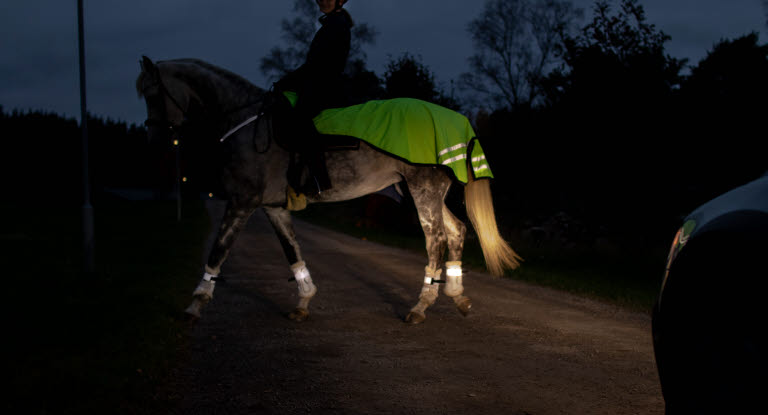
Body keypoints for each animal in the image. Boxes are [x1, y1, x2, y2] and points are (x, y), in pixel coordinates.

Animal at [138, 56, 520, 324]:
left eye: (152, 94)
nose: (154, 140)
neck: (247, 123)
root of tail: (456, 119)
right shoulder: (273, 206)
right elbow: (291, 250)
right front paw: (304, 300)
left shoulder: (242, 201)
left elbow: (218, 251)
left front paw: (195, 305)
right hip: (421, 191)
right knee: (456, 231)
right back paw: (457, 296)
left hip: (423, 189)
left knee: (436, 240)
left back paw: (420, 307)